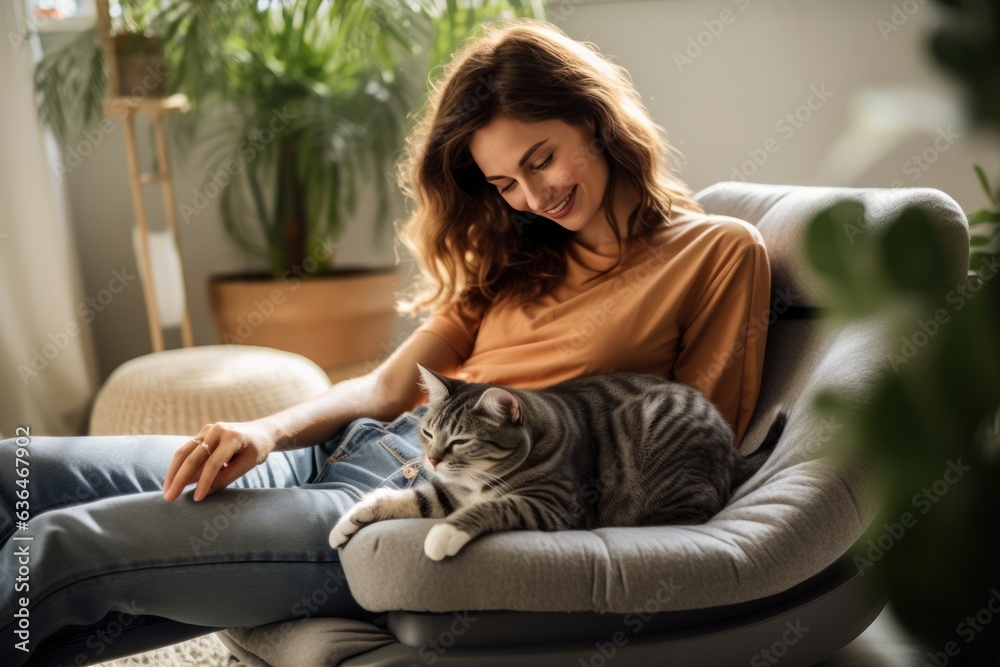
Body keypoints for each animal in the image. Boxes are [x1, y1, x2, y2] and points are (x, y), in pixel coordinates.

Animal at [332, 362, 784, 560]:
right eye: (427, 433)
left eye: (460, 440)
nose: (430, 458)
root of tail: (732, 448)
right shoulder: (451, 491)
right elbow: (405, 498)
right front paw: (349, 520)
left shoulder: (555, 503)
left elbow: (495, 506)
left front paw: (445, 533)